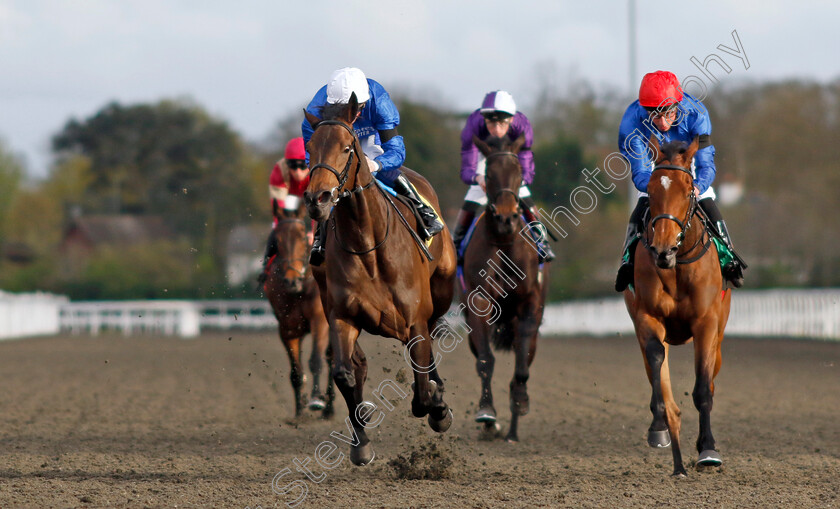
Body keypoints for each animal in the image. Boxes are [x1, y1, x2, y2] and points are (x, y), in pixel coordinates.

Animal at [264, 200, 334, 418]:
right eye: (276, 241)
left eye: (303, 237)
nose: (291, 280)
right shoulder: (288, 329)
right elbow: (296, 371)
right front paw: (300, 411)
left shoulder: (320, 322)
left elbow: (316, 361)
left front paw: (316, 400)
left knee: (332, 359)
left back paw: (329, 407)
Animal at [304, 93, 460, 466]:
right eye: (310, 147)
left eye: (347, 147)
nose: (317, 199)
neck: (367, 246)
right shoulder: (342, 316)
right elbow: (345, 372)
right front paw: (361, 444)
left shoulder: (415, 319)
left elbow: (422, 391)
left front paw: (438, 408)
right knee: (356, 366)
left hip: (441, 293)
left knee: (431, 344)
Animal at [462, 134, 548, 440]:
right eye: (488, 173)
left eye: (519, 171)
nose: (506, 217)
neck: (503, 243)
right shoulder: (479, 301)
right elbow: (485, 361)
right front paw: (487, 412)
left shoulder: (530, 303)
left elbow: (521, 362)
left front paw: (520, 401)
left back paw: (513, 428)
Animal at [624, 136, 736, 476]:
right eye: (650, 190)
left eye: (688, 190)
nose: (663, 249)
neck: (676, 266)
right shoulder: (647, 319)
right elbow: (658, 370)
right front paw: (659, 428)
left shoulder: (706, 324)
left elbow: (702, 389)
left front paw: (708, 449)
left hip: (719, 335)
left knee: (710, 380)